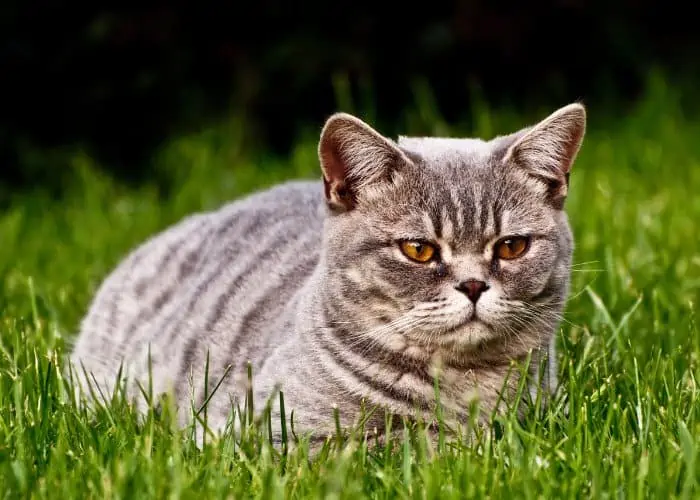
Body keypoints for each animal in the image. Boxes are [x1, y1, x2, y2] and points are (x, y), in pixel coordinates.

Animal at [69, 102, 584, 446]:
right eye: (418, 249)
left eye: (511, 246)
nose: (474, 285)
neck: (464, 384)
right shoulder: (273, 434)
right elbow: (400, 445)